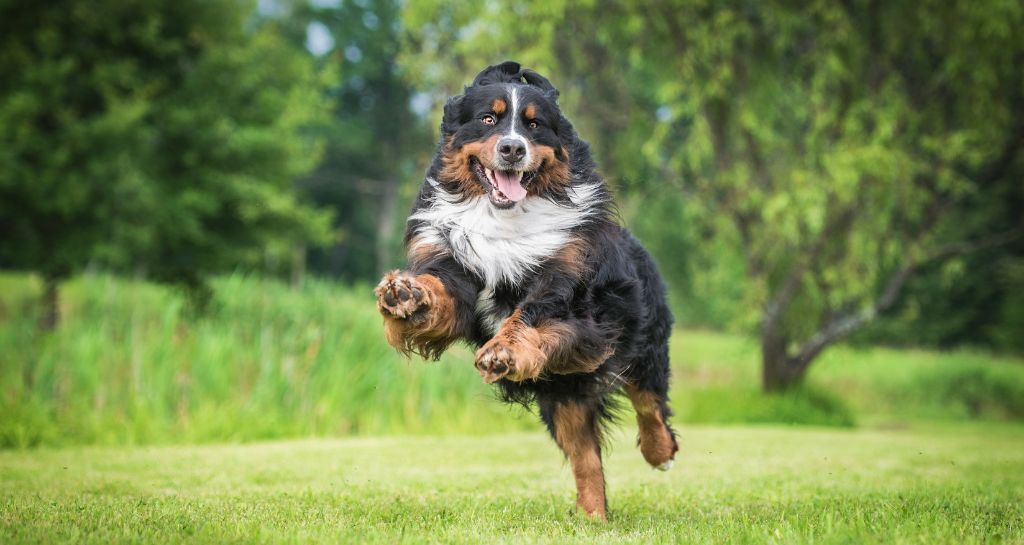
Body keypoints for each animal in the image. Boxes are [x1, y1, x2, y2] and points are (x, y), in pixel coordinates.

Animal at [375, 61, 677, 520]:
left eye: (534, 125)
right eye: (488, 119)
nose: (513, 149)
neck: (505, 217)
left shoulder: (574, 297)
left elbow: (531, 315)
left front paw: (503, 352)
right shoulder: (457, 272)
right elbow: (442, 294)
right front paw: (406, 294)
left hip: (641, 338)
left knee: (649, 401)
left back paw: (660, 453)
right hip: (563, 395)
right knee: (586, 460)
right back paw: (592, 519)